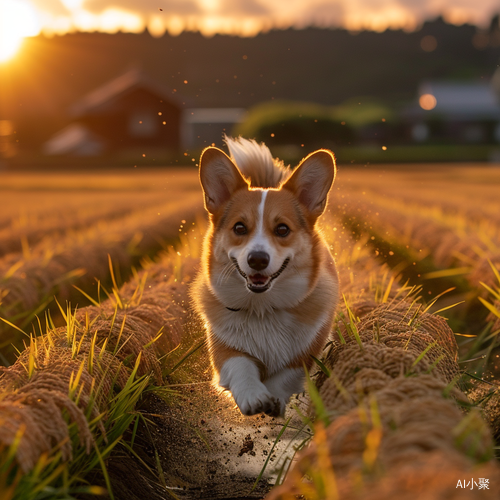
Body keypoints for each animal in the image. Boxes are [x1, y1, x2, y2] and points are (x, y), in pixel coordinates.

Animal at [191, 138, 340, 418]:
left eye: (282, 229)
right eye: (240, 228)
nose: (257, 259)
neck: (263, 309)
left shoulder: (306, 355)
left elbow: (283, 378)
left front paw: (274, 401)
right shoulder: (224, 349)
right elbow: (241, 366)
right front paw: (255, 397)